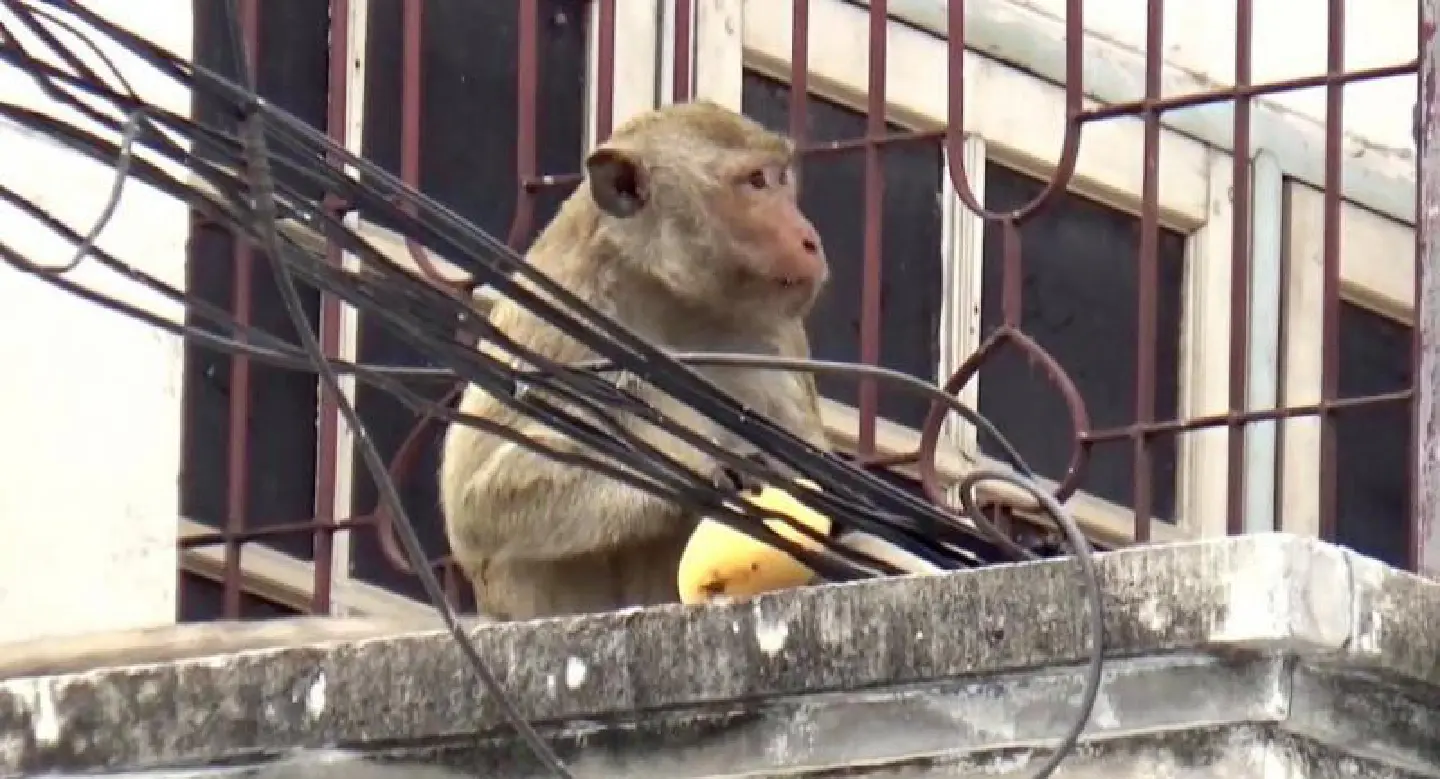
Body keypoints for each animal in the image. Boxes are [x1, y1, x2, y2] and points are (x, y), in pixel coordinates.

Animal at [438, 101, 833, 623]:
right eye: (755, 182)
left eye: (781, 178)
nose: (810, 239)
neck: (670, 298)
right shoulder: (558, 312)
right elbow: (476, 504)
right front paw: (708, 476)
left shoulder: (782, 337)